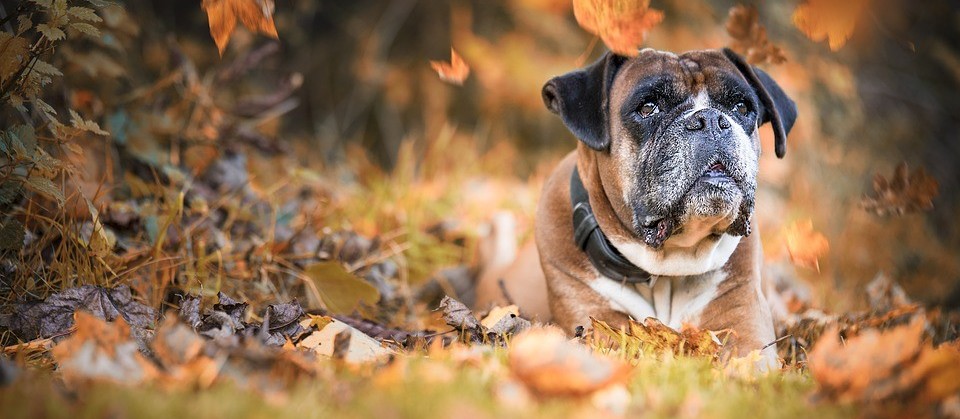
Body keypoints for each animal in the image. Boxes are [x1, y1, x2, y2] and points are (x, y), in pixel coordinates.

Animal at [528, 48, 800, 364]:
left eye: (741, 107)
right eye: (648, 108)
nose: (710, 119)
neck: (668, 266)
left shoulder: (743, 322)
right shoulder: (595, 319)